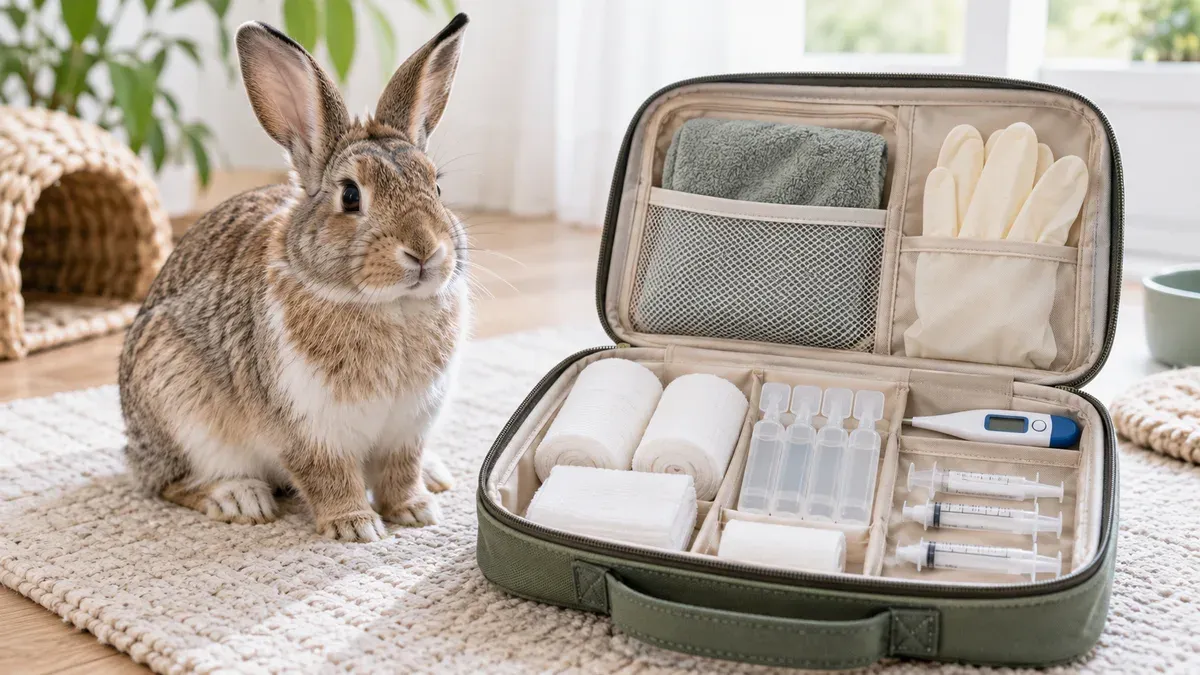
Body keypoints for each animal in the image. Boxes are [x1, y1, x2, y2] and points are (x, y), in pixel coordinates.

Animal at [118, 14, 471, 542]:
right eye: (350, 196)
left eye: (437, 186)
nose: (425, 251)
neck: (388, 305)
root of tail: (135, 453)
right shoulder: (307, 427)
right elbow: (328, 476)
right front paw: (355, 526)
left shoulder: (408, 427)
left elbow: (400, 471)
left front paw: (415, 511)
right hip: (177, 406)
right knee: (172, 483)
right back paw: (238, 498)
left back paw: (437, 474)